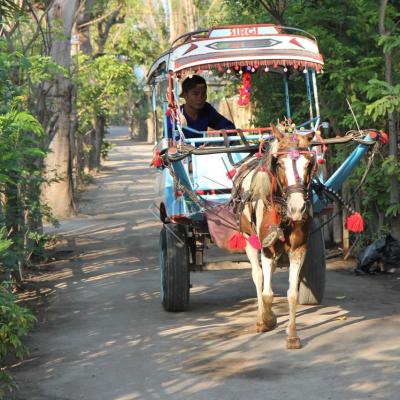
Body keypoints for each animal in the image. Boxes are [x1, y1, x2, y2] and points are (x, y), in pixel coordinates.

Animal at [230, 122, 318, 350]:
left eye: (309, 163)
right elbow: (267, 293)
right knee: (258, 275)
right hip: (248, 239)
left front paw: (293, 336)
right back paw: (261, 318)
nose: (297, 207)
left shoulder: (299, 249)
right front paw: (268, 319)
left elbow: (292, 294)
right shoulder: (266, 249)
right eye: (279, 164)